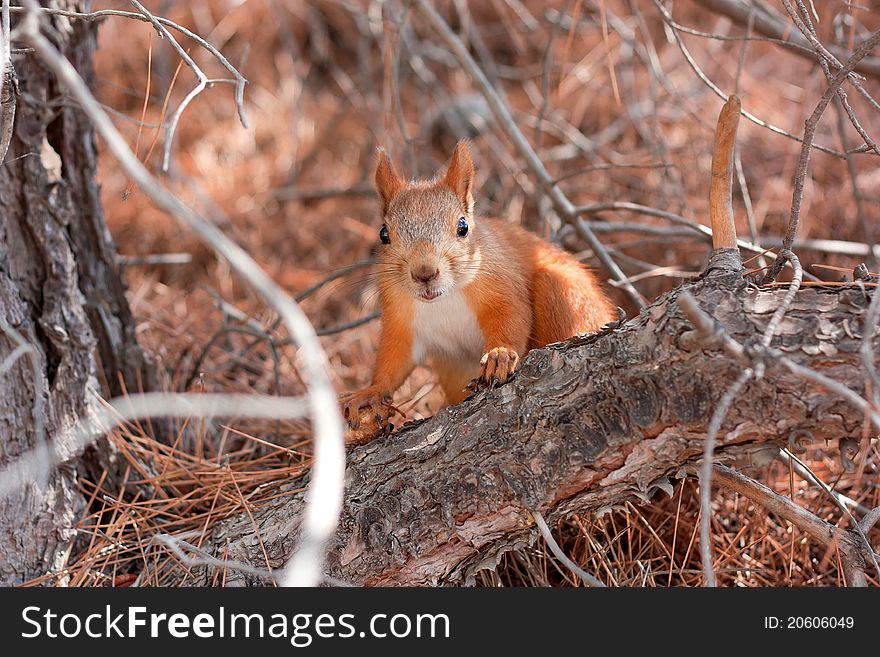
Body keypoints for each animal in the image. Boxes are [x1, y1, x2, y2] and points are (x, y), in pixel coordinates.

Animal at [340, 140, 616, 444]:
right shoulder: (400, 318)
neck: (443, 300)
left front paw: (499, 355)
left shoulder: (501, 286)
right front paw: (371, 392)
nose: (424, 274)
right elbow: (393, 358)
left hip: (561, 289)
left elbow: (512, 317)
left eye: (463, 227)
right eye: (384, 234)